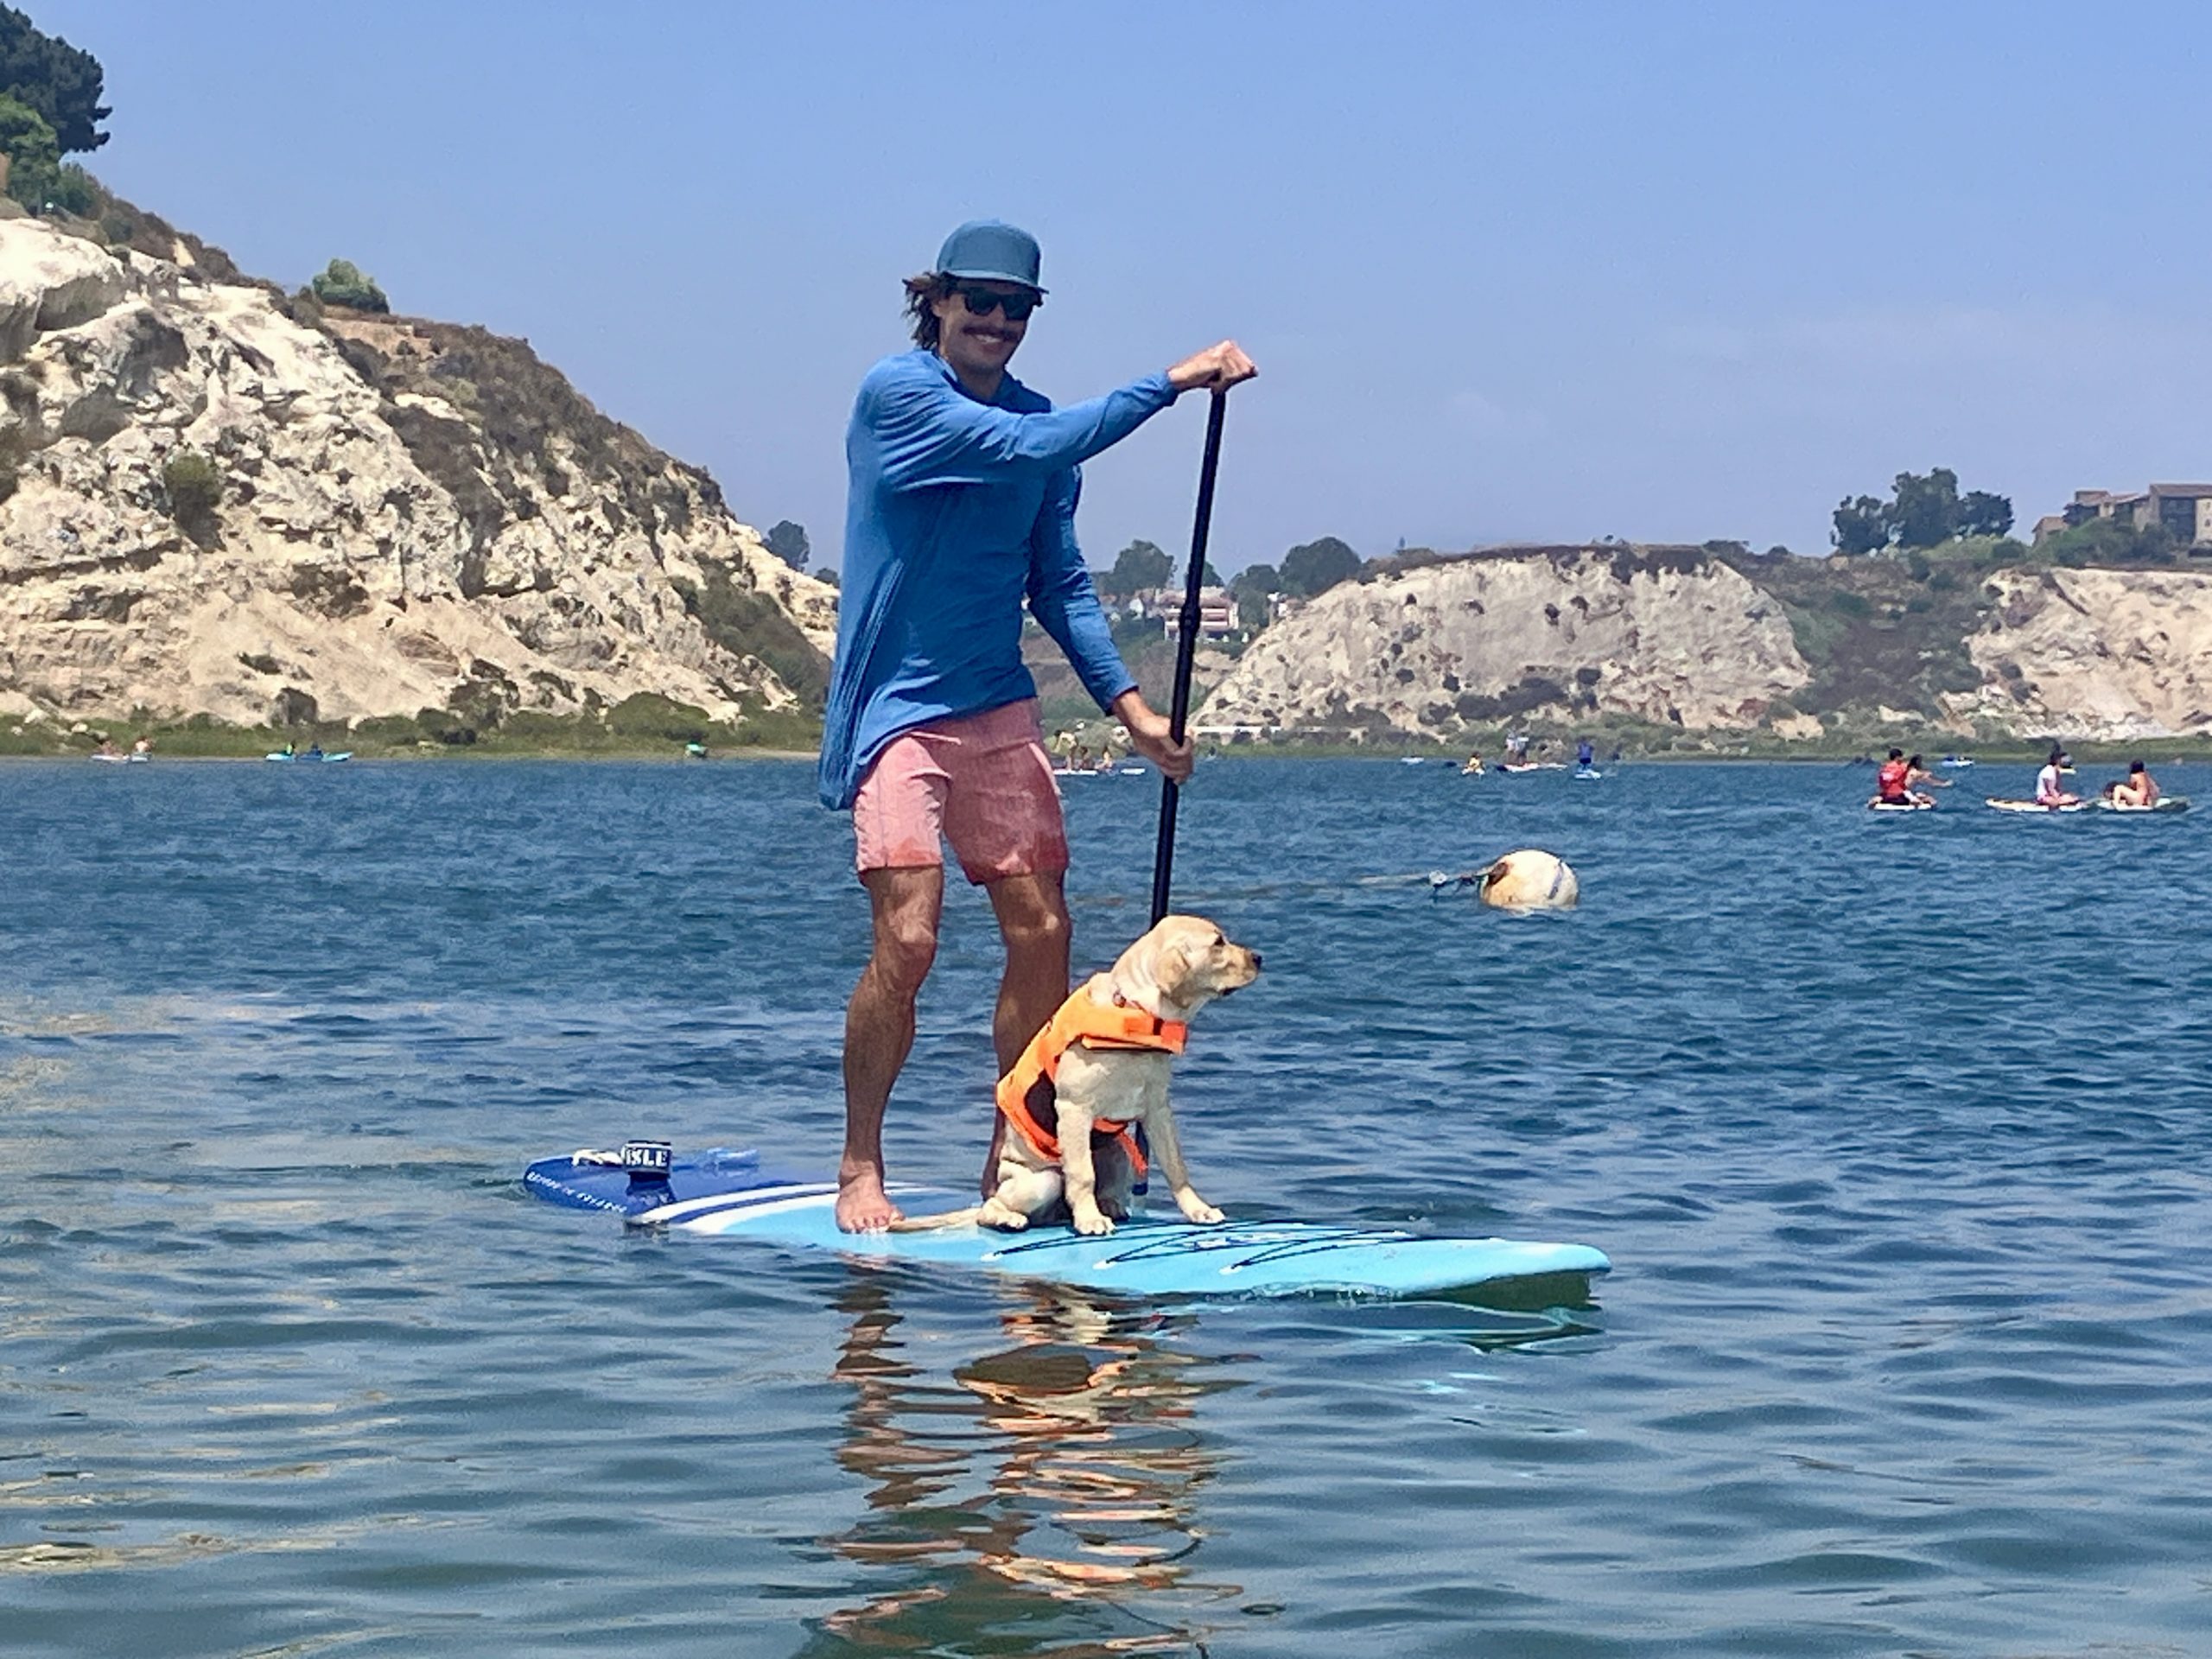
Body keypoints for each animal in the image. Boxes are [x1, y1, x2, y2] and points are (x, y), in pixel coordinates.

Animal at [889, 915, 1256, 1238]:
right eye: (1218, 943)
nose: (1259, 958)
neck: (1132, 1010)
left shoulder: (1158, 1109)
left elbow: (1175, 1165)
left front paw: (1198, 1210)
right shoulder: (1074, 1108)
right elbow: (1081, 1174)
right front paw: (1089, 1220)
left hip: (1117, 1153)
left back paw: (1109, 1206)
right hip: (1041, 1181)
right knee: (991, 1208)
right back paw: (1012, 1218)